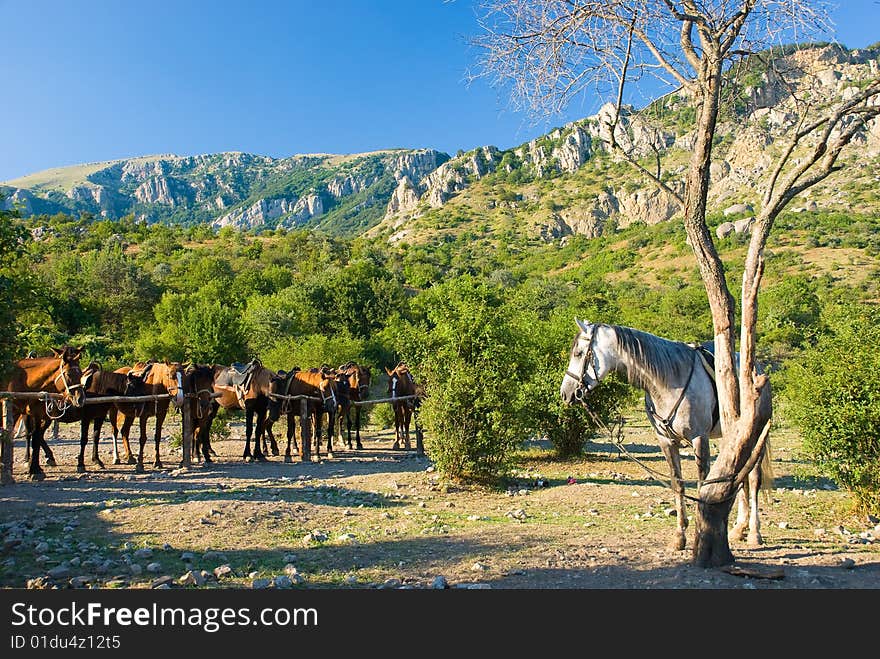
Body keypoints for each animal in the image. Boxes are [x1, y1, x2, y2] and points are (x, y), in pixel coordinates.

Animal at [1, 348, 86, 482]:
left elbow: (36, 439)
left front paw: (35, 470)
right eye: (68, 374)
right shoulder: (13, 411)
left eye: (81, 374)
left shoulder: (39, 414)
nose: (80, 399)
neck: (27, 383)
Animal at [560, 320, 772, 552]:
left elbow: (702, 484)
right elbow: (677, 484)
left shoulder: (699, 438)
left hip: (755, 433)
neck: (668, 381)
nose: (566, 393)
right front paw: (679, 536)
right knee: (740, 475)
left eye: (579, 353)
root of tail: (757, 368)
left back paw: (754, 533)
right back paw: (739, 529)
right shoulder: (666, 442)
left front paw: (700, 532)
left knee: (753, 478)